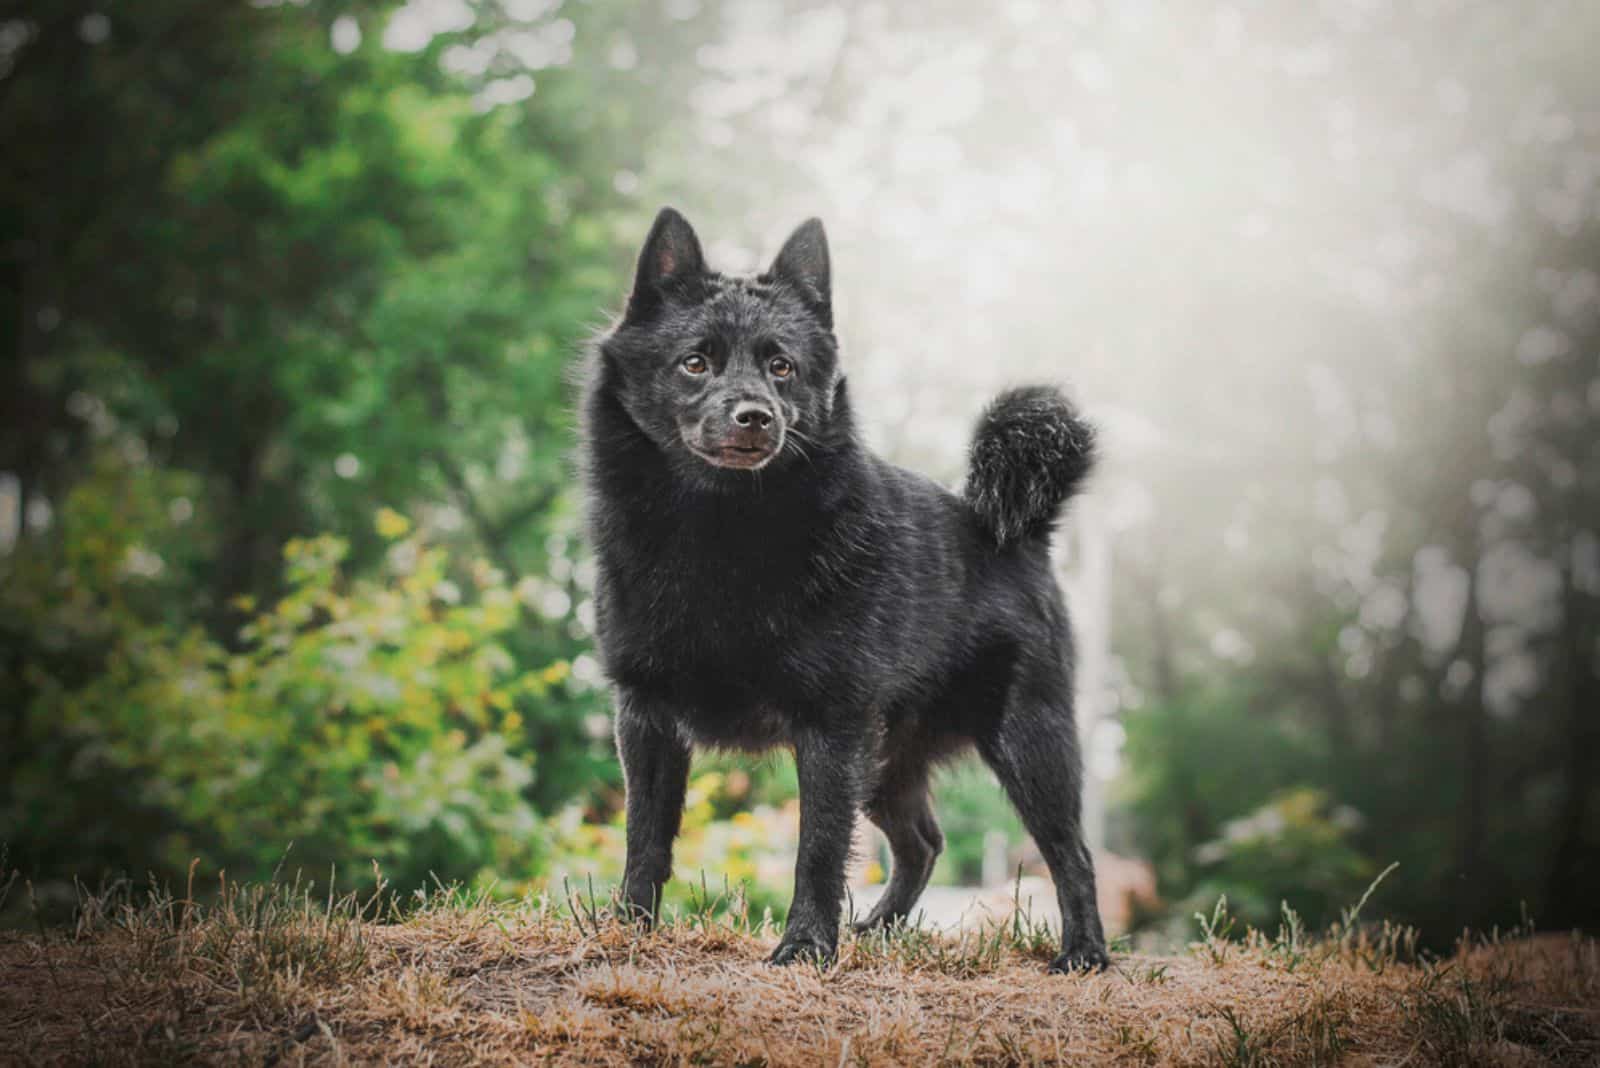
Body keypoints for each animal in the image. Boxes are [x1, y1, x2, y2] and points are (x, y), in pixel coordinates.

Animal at [579, 207, 1113, 978]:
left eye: (782, 367)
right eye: (694, 362)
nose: (754, 415)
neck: (721, 529)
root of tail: (1016, 532)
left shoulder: (831, 729)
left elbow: (819, 850)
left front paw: (805, 946)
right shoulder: (645, 717)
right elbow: (644, 836)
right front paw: (628, 928)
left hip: (1028, 743)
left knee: (1071, 853)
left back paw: (1085, 953)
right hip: (888, 760)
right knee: (923, 842)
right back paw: (878, 930)